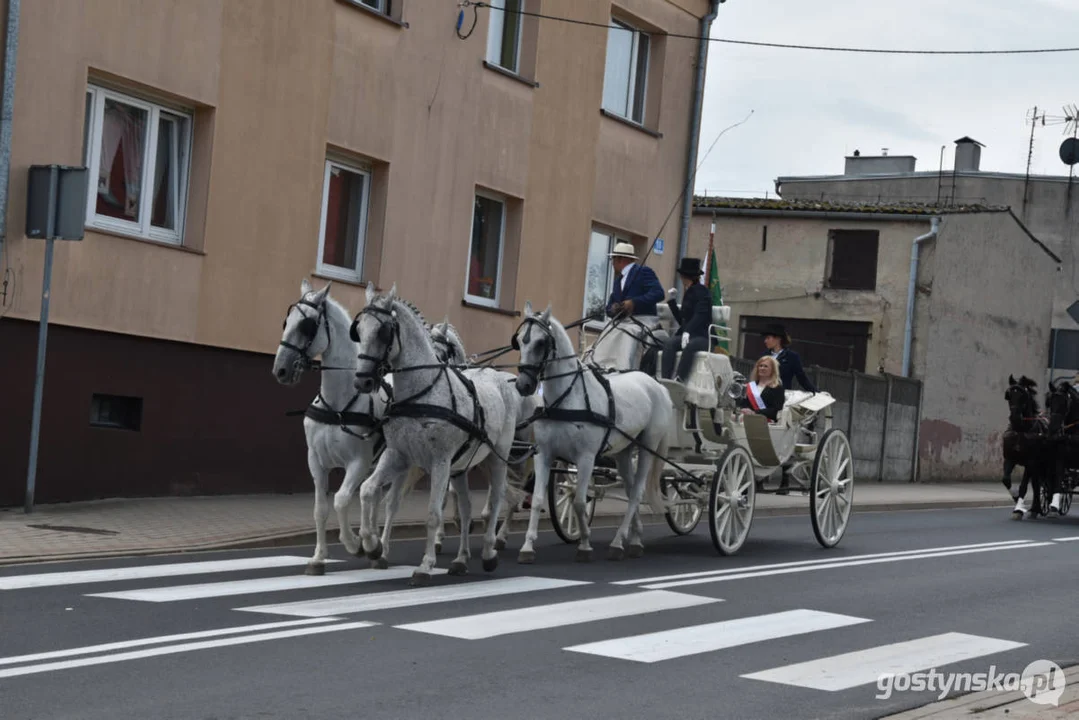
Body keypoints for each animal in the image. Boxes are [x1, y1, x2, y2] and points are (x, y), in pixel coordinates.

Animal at [351, 282, 524, 587]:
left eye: (383, 332)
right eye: (358, 329)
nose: (363, 381)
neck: (422, 392)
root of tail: (500, 378)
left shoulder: (440, 461)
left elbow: (433, 513)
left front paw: (425, 566)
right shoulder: (398, 455)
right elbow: (368, 490)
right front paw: (372, 546)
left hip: (496, 457)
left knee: (496, 499)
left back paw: (489, 552)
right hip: (462, 467)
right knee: (466, 508)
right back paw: (461, 560)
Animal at [509, 302, 668, 565]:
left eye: (541, 342)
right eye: (520, 340)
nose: (523, 385)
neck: (567, 398)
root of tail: (656, 384)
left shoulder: (585, 458)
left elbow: (579, 502)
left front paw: (584, 544)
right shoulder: (544, 454)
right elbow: (539, 499)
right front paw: (527, 547)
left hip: (648, 447)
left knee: (636, 493)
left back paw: (618, 543)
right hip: (624, 453)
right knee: (630, 490)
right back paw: (635, 538)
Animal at [996, 377, 1048, 518]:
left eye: (1023, 396)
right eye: (1009, 395)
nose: (1015, 418)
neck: (1020, 431)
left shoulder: (1031, 462)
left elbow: (1023, 486)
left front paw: (1018, 509)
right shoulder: (1009, 458)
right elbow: (1006, 480)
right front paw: (1016, 498)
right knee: (1036, 484)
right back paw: (1035, 509)